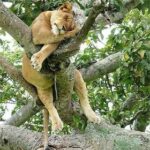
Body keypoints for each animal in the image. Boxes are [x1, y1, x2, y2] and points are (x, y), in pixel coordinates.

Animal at [21, 2, 100, 150]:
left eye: (68, 25)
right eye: (65, 17)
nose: (62, 28)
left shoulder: (54, 41)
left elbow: (49, 47)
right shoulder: (39, 32)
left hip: (75, 75)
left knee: (83, 97)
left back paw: (92, 116)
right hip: (42, 89)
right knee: (49, 105)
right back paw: (57, 124)